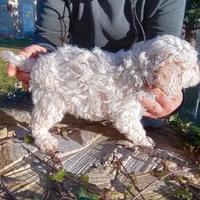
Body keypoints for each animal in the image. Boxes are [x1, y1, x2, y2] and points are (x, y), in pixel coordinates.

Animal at [0, 35, 199, 152]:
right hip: (51, 102)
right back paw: (45, 141)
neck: (139, 70)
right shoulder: (126, 114)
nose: (199, 73)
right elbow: (135, 129)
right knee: (37, 124)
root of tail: (37, 61)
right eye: (193, 66)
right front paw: (144, 141)